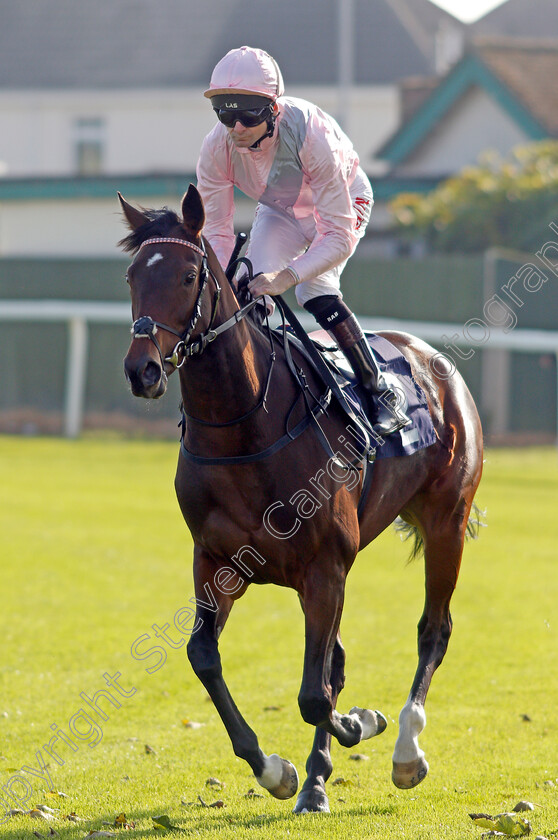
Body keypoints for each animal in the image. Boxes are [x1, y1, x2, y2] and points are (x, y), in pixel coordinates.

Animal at [119, 185, 486, 812]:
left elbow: (318, 693)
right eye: (131, 276)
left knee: (433, 630)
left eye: (190, 275)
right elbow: (205, 656)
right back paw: (317, 778)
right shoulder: (216, 562)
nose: (141, 370)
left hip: (447, 522)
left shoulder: (325, 567)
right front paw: (278, 771)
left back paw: (406, 748)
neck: (246, 429)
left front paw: (360, 724)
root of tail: (433, 361)